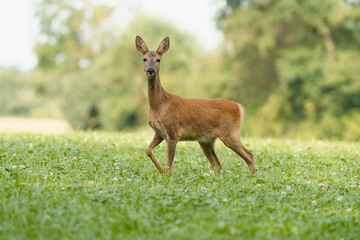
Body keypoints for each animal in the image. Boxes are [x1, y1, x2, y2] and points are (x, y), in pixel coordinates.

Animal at [135, 35, 256, 173]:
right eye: (144, 59)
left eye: (158, 60)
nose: (150, 70)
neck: (159, 106)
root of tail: (239, 107)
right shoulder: (159, 133)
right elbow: (147, 150)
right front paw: (161, 170)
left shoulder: (173, 132)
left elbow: (169, 164)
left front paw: (165, 172)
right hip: (206, 141)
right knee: (218, 165)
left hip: (230, 133)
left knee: (249, 156)